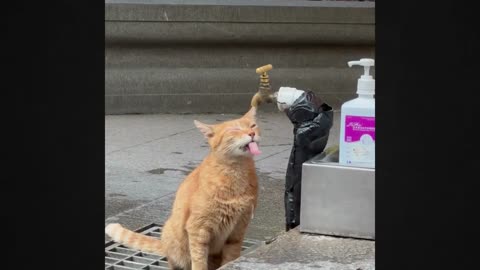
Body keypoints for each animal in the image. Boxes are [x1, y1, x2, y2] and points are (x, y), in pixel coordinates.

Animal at [106, 106, 262, 268]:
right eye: (234, 129)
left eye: (253, 126)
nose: (252, 133)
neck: (236, 172)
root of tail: (164, 244)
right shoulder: (198, 228)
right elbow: (199, 260)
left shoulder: (239, 228)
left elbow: (231, 257)